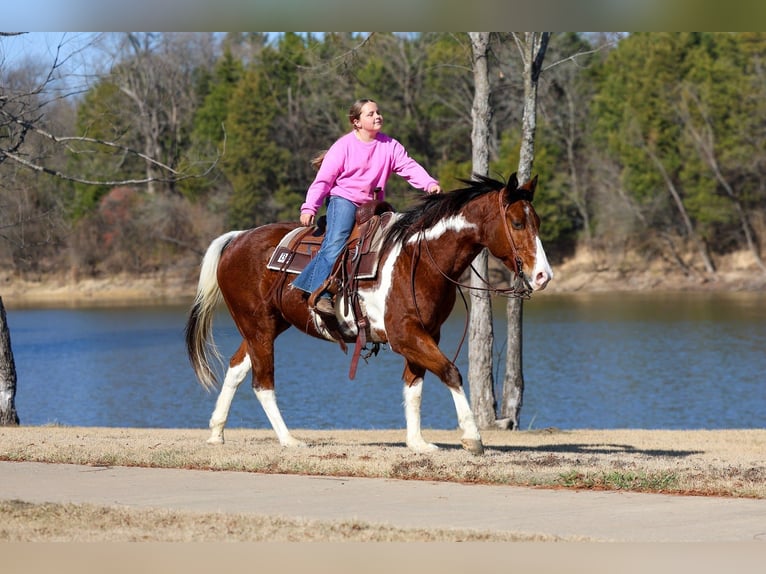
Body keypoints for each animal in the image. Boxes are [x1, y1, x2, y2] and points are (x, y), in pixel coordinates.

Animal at [185, 172, 553, 455]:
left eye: (536, 221)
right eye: (517, 222)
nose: (543, 276)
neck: (419, 257)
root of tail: (237, 238)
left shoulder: (425, 333)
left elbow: (414, 384)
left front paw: (417, 443)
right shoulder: (405, 335)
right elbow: (450, 372)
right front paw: (472, 437)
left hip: (267, 326)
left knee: (236, 369)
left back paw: (216, 432)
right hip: (258, 326)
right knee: (263, 383)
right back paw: (289, 440)